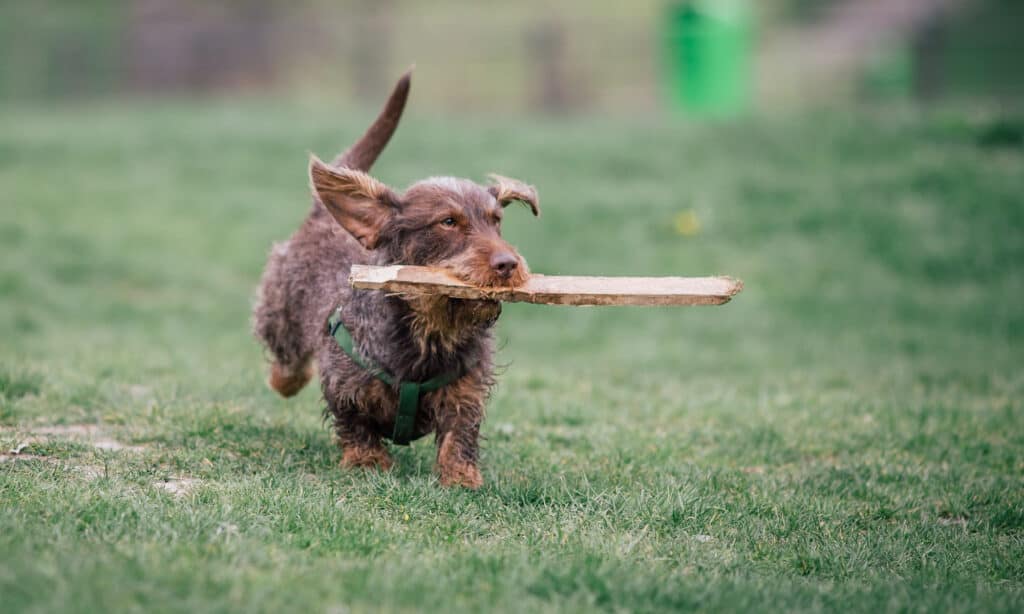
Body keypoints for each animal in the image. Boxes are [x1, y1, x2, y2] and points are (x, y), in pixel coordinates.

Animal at [252, 72, 540, 487]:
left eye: (496, 220)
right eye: (448, 222)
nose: (508, 264)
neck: (430, 329)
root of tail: (323, 218)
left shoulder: (465, 389)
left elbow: (459, 430)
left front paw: (460, 475)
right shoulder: (345, 383)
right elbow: (355, 422)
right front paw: (367, 461)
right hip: (281, 313)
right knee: (287, 363)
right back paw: (284, 379)